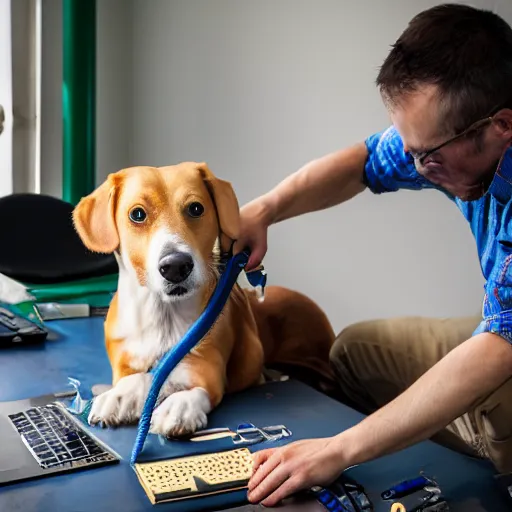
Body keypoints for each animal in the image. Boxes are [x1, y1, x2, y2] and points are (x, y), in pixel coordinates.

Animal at [73, 162, 336, 438]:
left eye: (196, 208)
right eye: (137, 214)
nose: (176, 266)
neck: (163, 314)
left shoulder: (207, 369)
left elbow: (174, 379)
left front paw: (178, 407)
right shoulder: (124, 363)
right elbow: (140, 377)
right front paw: (120, 396)